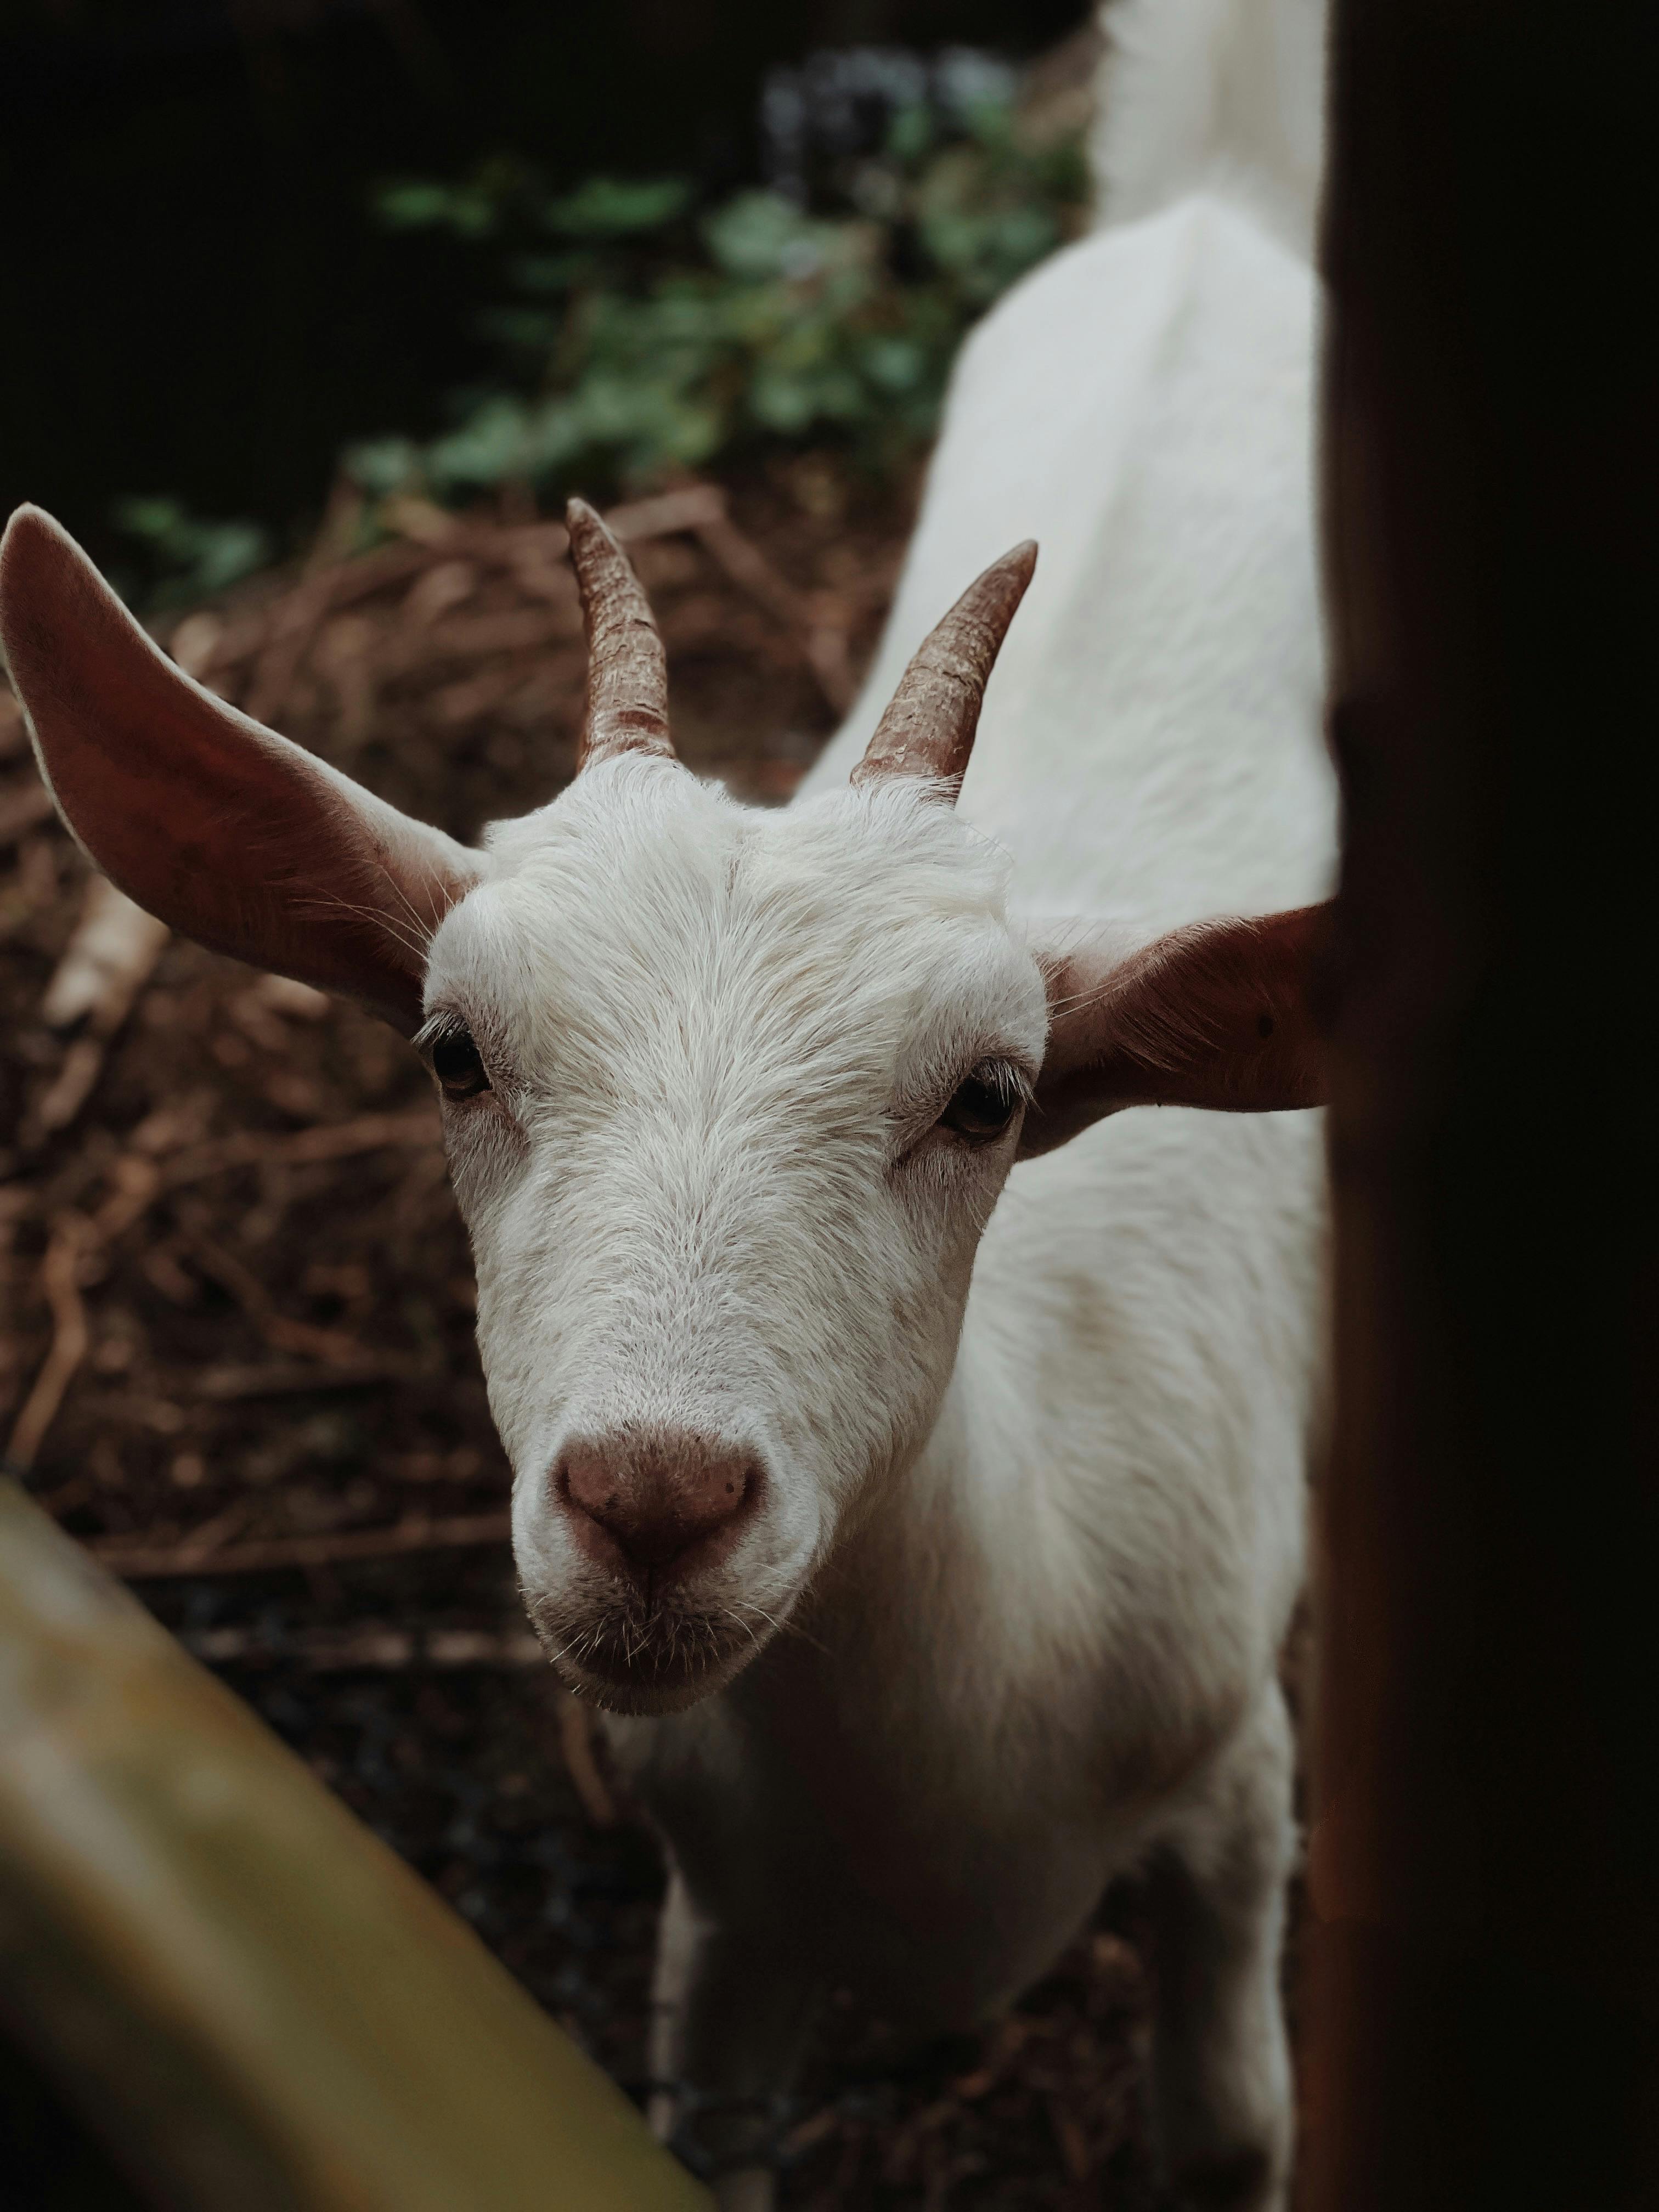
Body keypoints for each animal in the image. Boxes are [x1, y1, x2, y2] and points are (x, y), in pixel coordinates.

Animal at [0, 5, 1332, 2203]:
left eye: (989, 1095)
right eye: (452, 1052)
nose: (649, 1504)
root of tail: (1208, 209)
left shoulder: (1231, 1791)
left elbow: (1227, 2127)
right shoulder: (723, 1921)